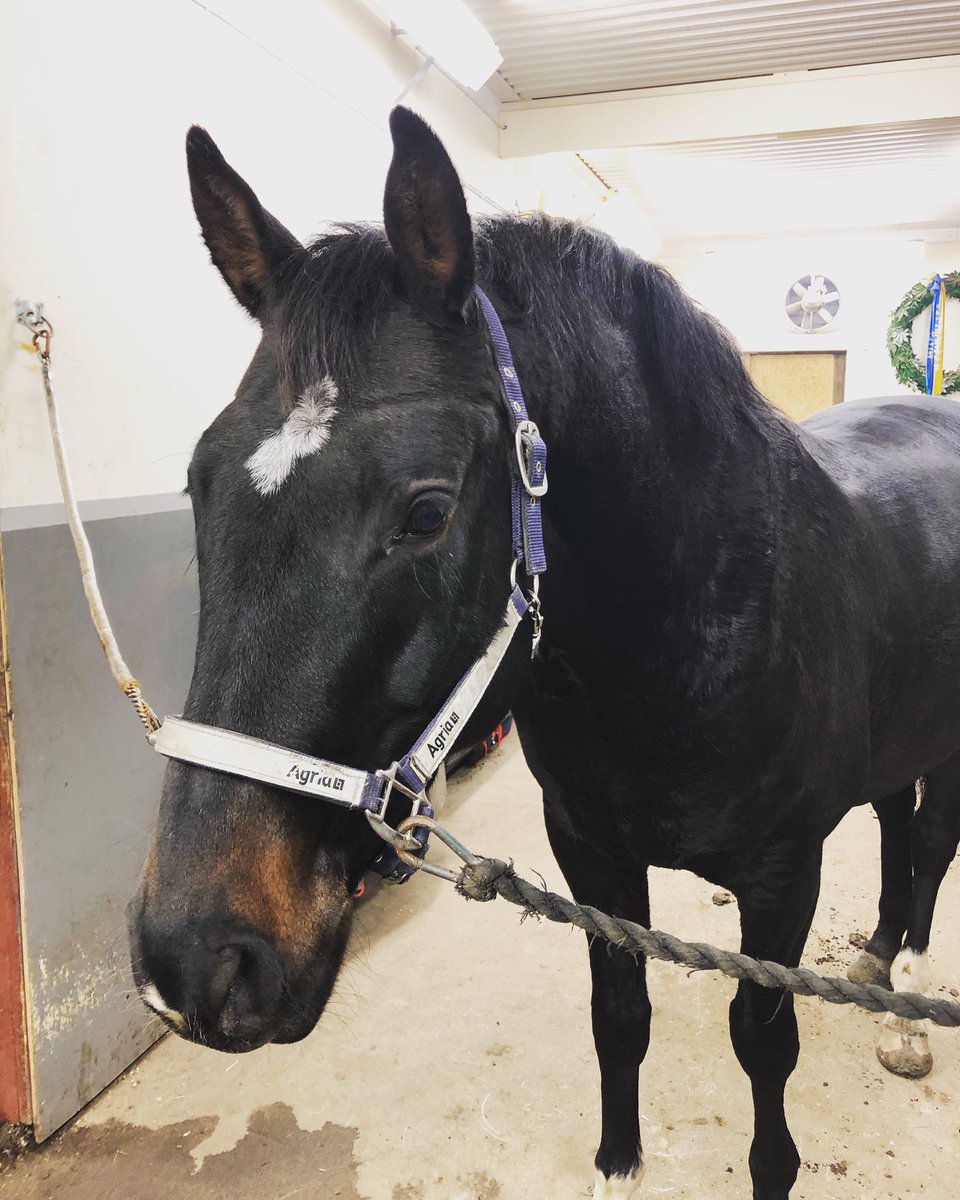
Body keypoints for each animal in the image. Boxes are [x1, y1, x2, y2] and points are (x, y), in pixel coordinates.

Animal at [128, 107, 960, 1199]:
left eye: (428, 510)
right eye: (199, 484)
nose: (193, 962)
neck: (688, 636)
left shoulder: (785, 876)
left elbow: (761, 1041)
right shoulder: (591, 856)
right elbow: (619, 1017)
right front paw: (618, 1166)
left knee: (934, 843)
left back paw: (906, 999)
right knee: (900, 825)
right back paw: (875, 957)